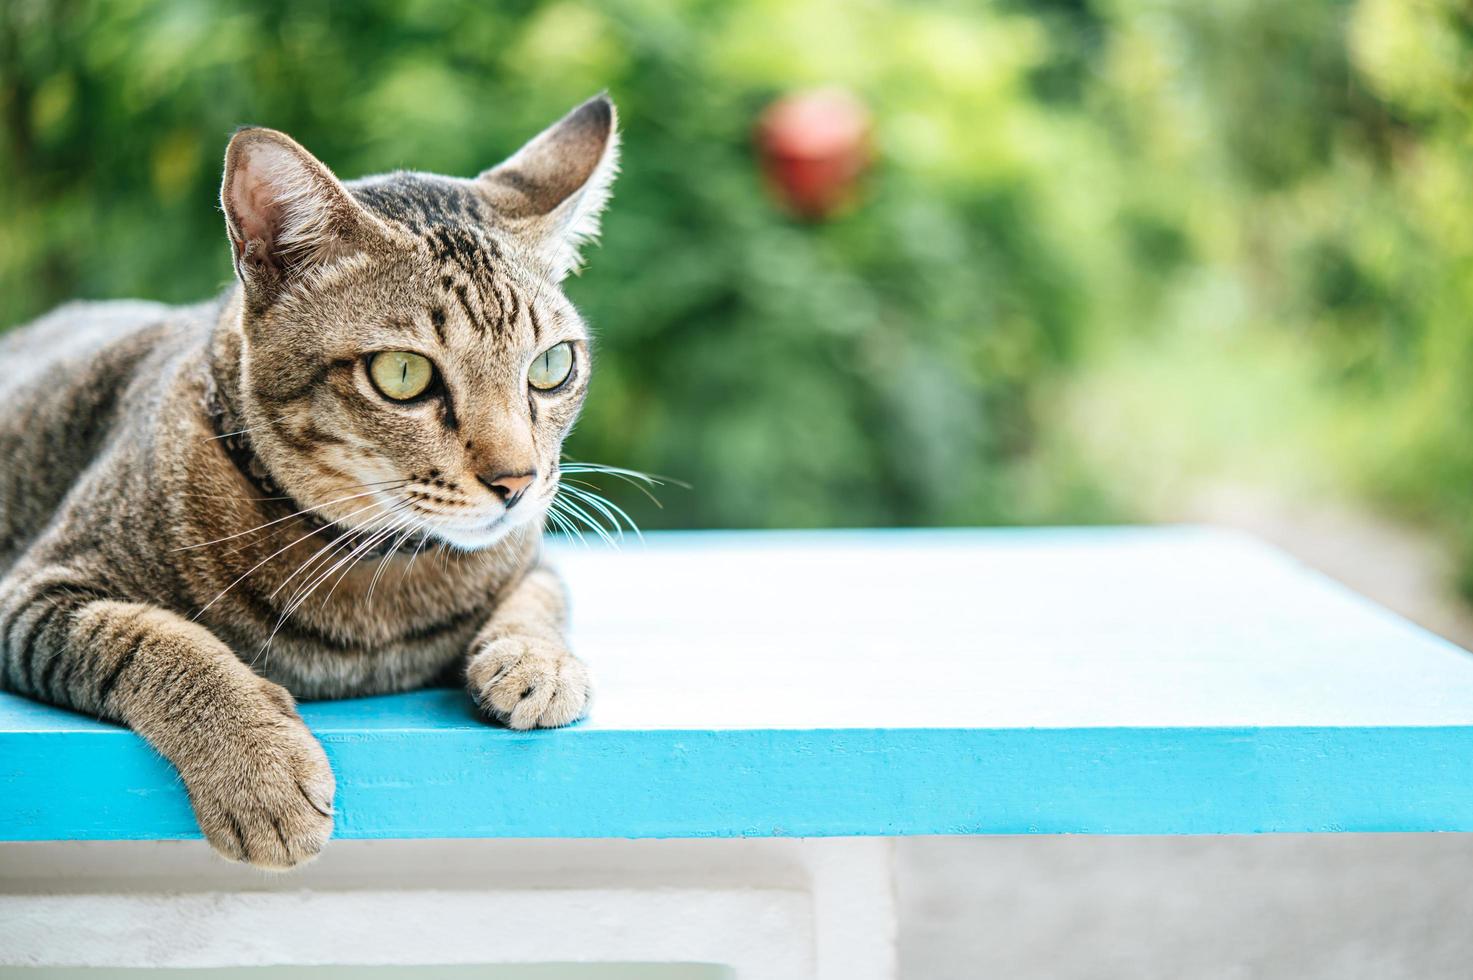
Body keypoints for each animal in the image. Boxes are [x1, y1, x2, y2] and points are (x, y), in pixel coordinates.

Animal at [0, 95, 615, 866]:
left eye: (552, 366)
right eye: (403, 374)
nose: (517, 481)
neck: (380, 579)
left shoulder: (533, 555)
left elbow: (541, 596)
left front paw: (538, 661)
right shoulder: (37, 594)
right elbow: (160, 642)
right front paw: (257, 768)